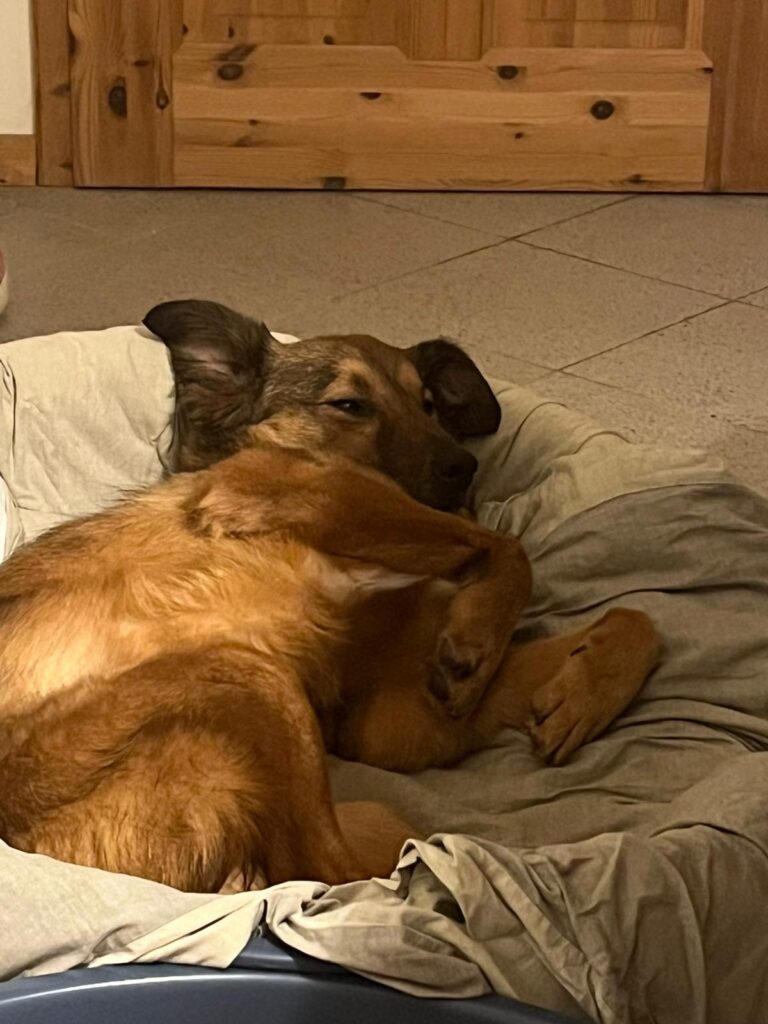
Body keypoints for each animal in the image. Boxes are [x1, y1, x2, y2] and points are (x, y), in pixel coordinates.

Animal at [0, 300, 660, 893]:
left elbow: (637, 618)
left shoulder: (394, 719)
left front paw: (577, 696)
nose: (463, 467)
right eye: (349, 405)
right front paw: (481, 629)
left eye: (428, 403)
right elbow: (504, 544)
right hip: (244, 676)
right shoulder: (296, 488)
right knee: (329, 869)